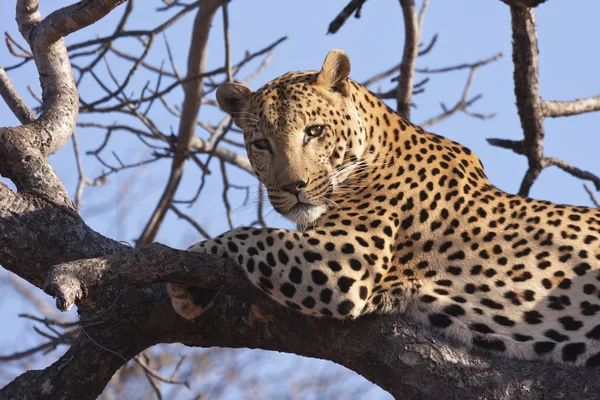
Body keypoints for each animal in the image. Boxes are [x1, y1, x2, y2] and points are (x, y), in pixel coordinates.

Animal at [166, 49, 600, 366]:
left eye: (314, 131)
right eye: (261, 144)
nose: (293, 187)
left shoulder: (345, 259)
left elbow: (250, 236)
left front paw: (188, 272)